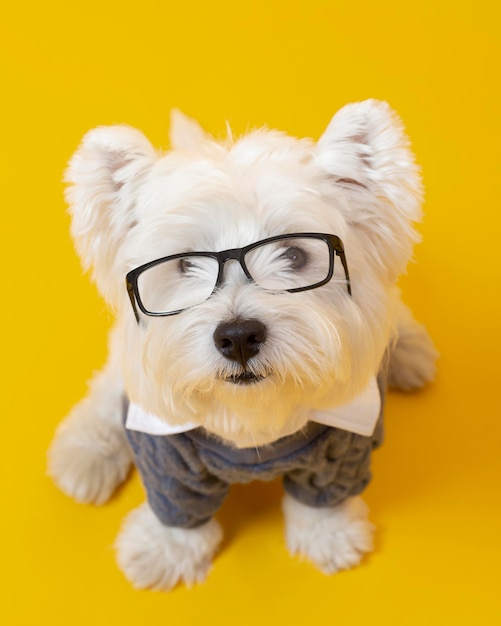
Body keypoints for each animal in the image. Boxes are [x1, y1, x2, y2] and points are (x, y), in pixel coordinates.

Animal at [48, 98, 436, 588]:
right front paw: (165, 550)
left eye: (295, 254)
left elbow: (321, 497)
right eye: (184, 265)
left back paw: (410, 353)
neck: (250, 420)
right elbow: (177, 504)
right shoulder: (169, 458)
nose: (237, 337)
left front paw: (329, 536)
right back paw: (84, 454)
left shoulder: (341, 448)